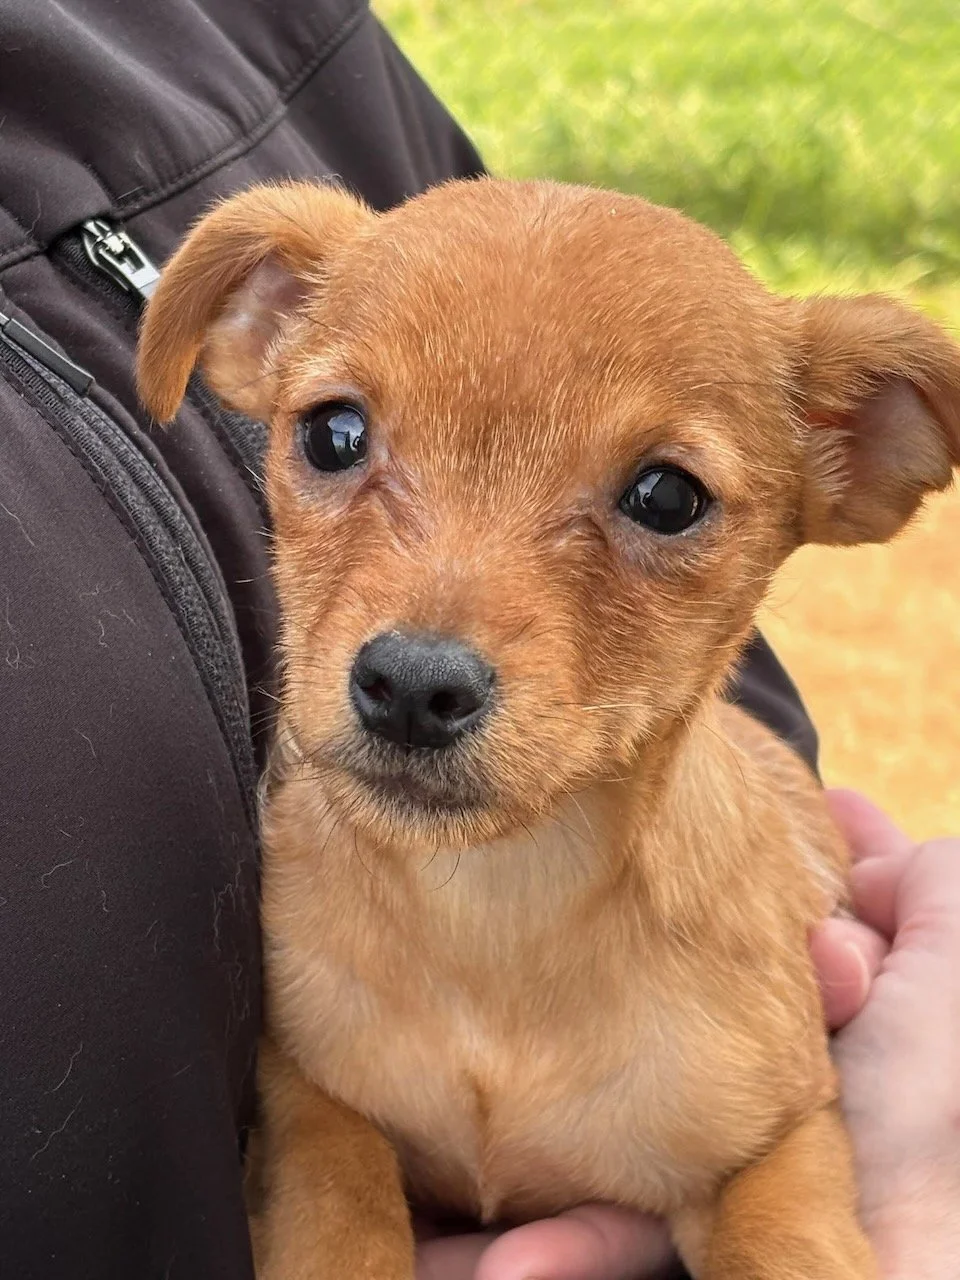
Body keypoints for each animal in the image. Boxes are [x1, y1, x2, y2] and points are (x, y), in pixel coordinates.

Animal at [137, 177, 960, 1279]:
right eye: (332, 433)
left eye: (668, 497)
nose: (412, 685)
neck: (495, 911)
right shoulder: (307, 1089)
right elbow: (337, 1204)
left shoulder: (779, 1138)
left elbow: (788, 1245)